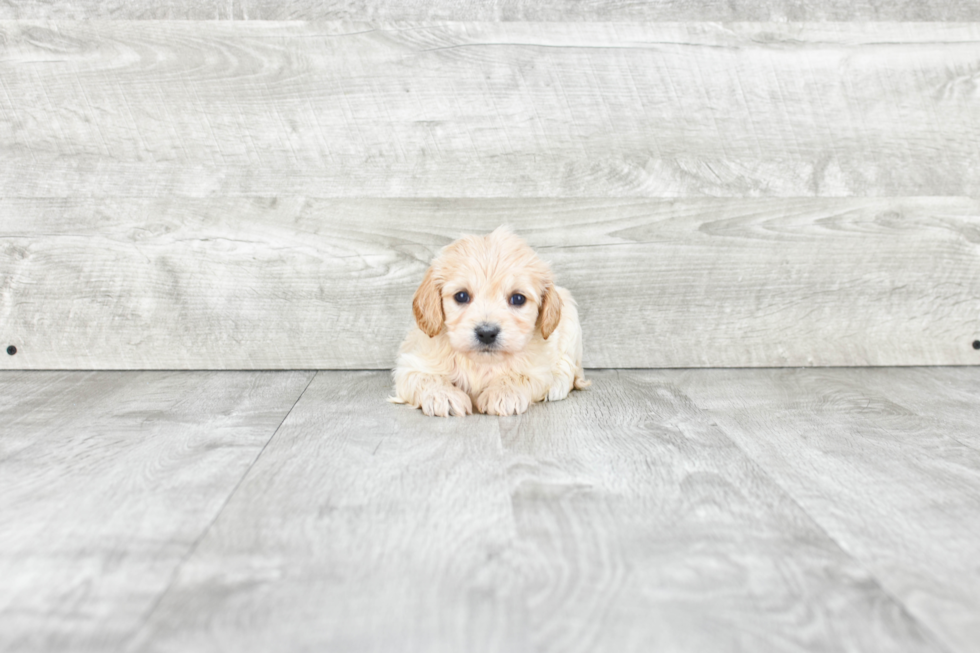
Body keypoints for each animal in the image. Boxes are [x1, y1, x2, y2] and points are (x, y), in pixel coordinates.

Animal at [390, 227, 588, 416]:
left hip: (571, 321)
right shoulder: (411, 365)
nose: (486, 333)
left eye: (518, 298)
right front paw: (444, 396)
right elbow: (427, 377)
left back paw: (557, 385)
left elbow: (518, 376)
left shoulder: (537, 370)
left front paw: (504, 394)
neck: (481, 363)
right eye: (461, 296)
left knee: (572, 369)